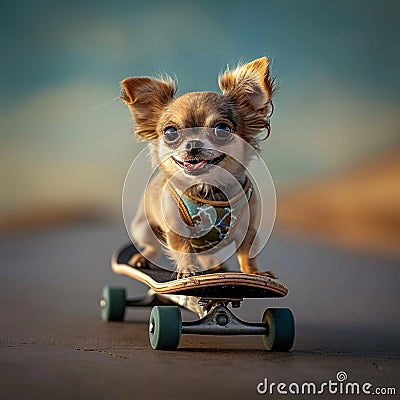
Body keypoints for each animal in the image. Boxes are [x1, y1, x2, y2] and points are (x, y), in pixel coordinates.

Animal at [121, 57, 276, 278]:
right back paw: (143, 258)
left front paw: (254, 273)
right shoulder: (175, 229)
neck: (208, 190)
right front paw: (188, 270)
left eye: (222, 130)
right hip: (143, 228)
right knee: (154, 246)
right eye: (170, 133)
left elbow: (247, 254)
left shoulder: (249, 230)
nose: (193, 144)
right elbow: (184, 249)